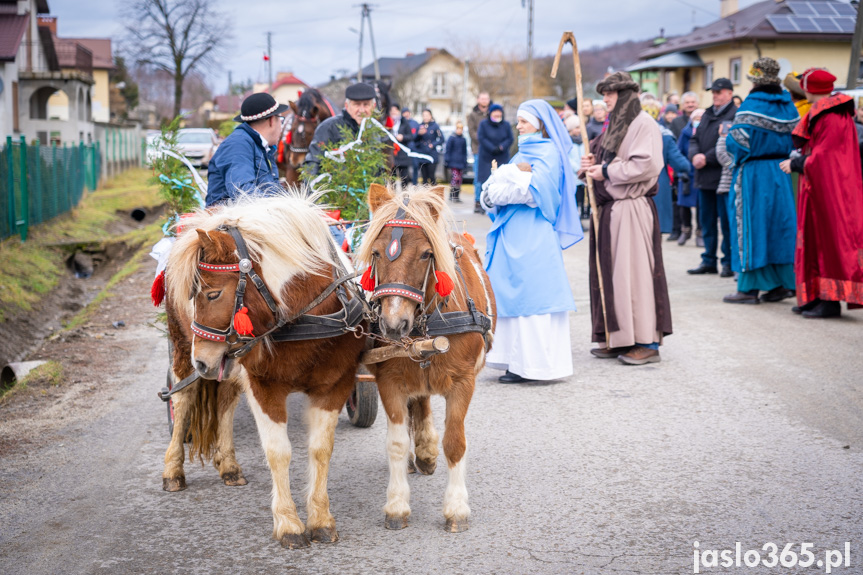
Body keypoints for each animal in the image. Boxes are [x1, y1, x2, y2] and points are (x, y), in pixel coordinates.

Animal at [161, 194, 364, 548]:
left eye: (213, 293)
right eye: (194, 293)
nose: (203, 362)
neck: (307, 319)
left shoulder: (334, 385)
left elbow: (321, 449)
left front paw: (321, 519)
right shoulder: (263, 385)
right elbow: (278, 452)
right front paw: (289, 524)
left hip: (228, 360)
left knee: (225, 400)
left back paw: (228, 464)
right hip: (182, 345)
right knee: (183, 398)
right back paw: (173, 470)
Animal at [354, 182, 496, 532]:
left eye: (426, 254)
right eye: (376, 253)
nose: (394, 324)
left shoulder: (463, 382)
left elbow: (455, 442)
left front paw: (456, 507)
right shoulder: (389, 381)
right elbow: (396, 442)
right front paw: (396, 504)